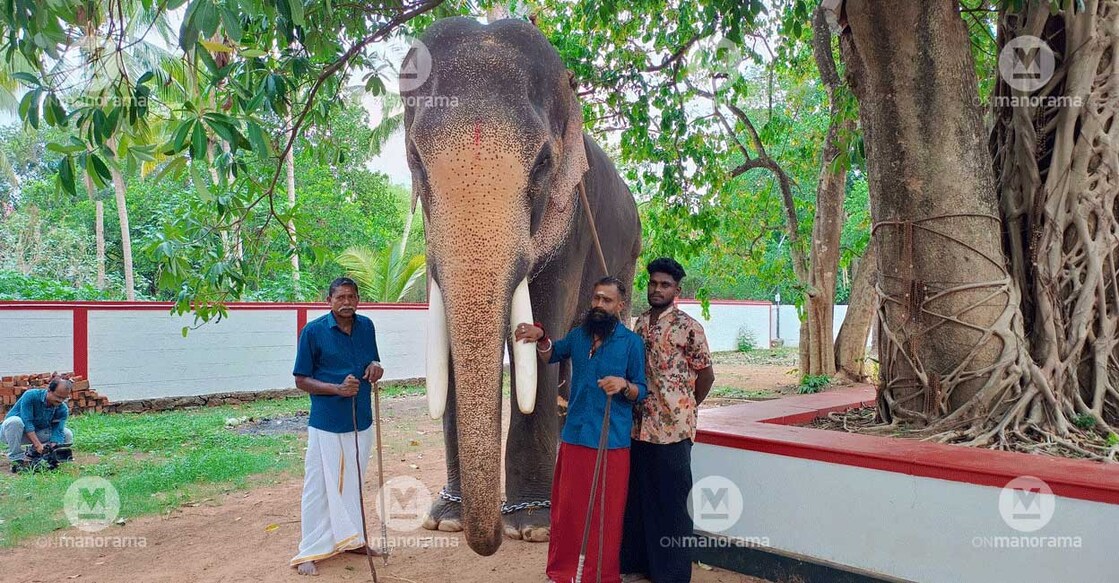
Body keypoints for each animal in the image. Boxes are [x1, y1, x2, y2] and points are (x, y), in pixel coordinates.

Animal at [401, 17, 642, 556]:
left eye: (542, 164)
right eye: (415, 160)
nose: (486, 540)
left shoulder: (571, 220)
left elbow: (546, 327)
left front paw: (532, 526)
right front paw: (445, 520)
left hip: (629, 258)